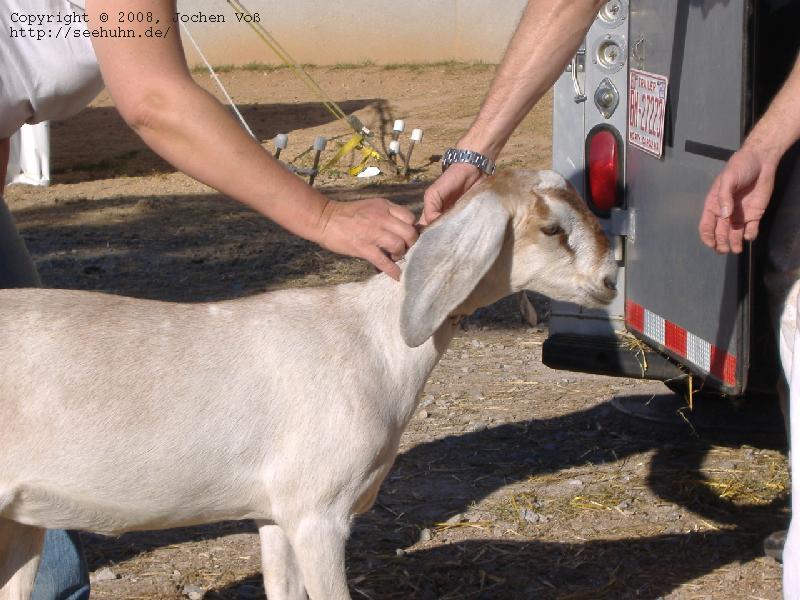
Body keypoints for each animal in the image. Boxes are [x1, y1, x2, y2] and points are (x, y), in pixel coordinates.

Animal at [0, 169, 616, 600]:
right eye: (552, 228)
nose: (611, 279)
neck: (372, 342)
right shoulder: (319, 512)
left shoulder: (276, 514)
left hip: (21, 521)